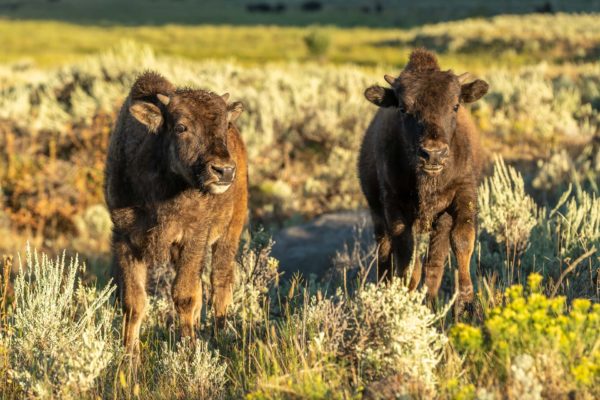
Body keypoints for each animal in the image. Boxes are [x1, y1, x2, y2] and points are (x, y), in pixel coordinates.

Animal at [106, 72, 248, 350]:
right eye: (181, 127)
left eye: (224, 126)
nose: (224, 170)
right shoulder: (126, 240)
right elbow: (134, 303)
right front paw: (129, 355)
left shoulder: (193, 237)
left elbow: (184, 295)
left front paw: (190, 350)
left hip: (230, 231)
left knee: (220, 281)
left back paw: (221, 336)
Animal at [356, 47, 488, 310]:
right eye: (403, 108)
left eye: (455, 105)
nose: (433, 153)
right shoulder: (395, 207)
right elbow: (407, 258)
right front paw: (404, 297)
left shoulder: (462, 195)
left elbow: (462, 240)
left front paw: (465, 300)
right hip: (377, 213)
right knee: (384, 253)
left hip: (438, 219)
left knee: (433, 263)